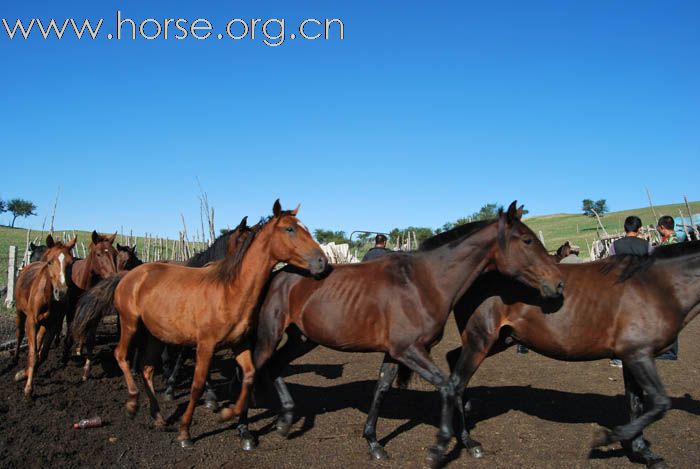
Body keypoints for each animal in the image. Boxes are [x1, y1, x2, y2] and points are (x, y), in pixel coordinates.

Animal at [12, 234, 76, 394]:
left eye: (70, 263)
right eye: (50, 262)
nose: (62, 292)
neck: (47, 297)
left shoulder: (52, 325)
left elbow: (43, 354)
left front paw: (24, 374)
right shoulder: (31, 322)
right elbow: (33, 354)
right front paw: (28, 388)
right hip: (19, 312)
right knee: (19, 333)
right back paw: (15, 358)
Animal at [77, 200, 328, 446]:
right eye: (290, 229)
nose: (322, 262)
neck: (230, 290)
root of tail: (128, 276)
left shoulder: (239, 343)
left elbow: (248, 376)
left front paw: (231, 418)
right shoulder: (205, 346)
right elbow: (197, 386)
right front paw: (186, 432)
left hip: (156, 334)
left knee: (147, 369)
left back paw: (158, 417)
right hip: (130, 324)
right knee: (121, 355)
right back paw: (132, 404)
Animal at [250, 200, 564, 464]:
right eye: (527, 240)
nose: (559, 283)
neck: (423, 282)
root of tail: (279, 274)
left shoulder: (395, 353)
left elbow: (382, 389)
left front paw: (374, 443)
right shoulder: (409, 350)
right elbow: (449, 385)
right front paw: (439, 447)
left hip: (302, 340)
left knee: (275, 365)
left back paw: (285, 420)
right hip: (271, 334)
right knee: (256, 366)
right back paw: (248, 431)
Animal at [446, 241, 700, 468]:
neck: (656, 286)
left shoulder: (631, 357)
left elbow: (636, 404)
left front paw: (643, 452)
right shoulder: (639, 355)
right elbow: (659, 403)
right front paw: (608, 438)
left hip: (498, 341)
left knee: (453, 362)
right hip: (481, 340)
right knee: (457, 380)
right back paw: (469, 442)